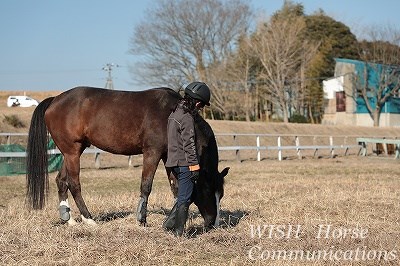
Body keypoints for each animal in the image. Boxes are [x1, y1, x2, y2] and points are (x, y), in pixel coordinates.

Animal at [25, 86, 228, 228]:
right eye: (208, 189)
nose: (213, 223)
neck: (172, 111)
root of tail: (55, 100)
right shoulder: (152, 153)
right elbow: (146, 186)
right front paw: (142, 220)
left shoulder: (168, 156)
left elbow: (177, 189)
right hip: (72, 152)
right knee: (74, 184)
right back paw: (89, 219)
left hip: (71, 152)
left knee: (61, 180)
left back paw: (69, 220)